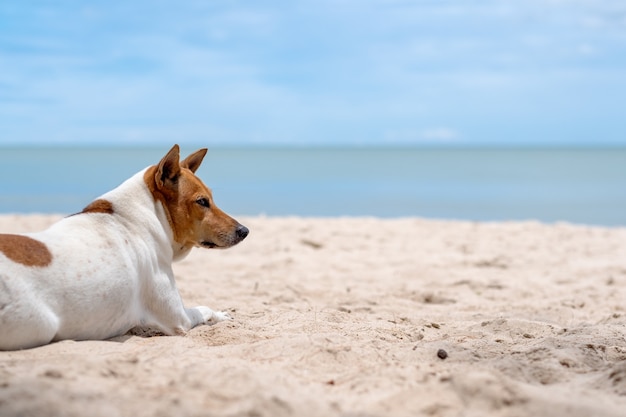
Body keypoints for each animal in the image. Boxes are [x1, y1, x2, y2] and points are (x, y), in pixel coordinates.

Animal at [0, 145, 247, 350]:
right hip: (40, 325)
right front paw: (221, 314)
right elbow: (205, 309)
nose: (244, 230)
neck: (138, 217)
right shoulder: (179, 318)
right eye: (202, 202)